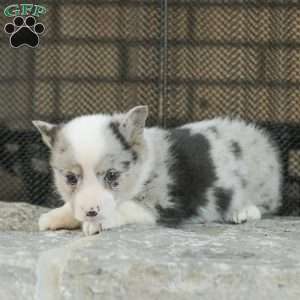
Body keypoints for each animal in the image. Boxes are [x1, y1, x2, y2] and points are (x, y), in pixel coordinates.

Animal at [32, 106, 282, 236]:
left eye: (112, 175)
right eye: (70, 178)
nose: (92, 212)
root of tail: (261, 140)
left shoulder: (160, 204)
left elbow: (126, 208)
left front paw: (96, 223)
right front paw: (52, 217)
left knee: (263, 207)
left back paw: (242, 212)